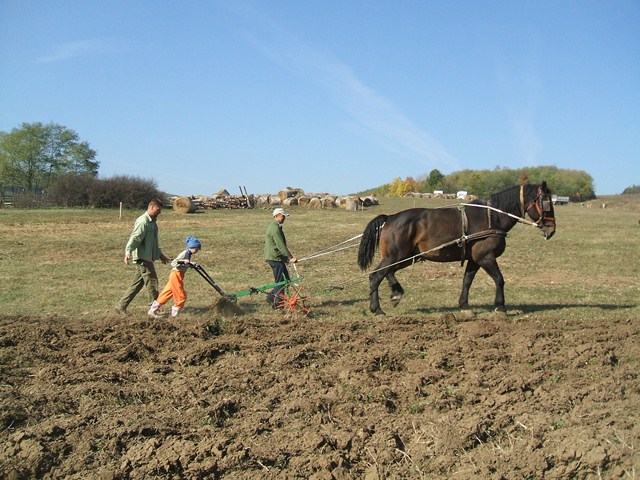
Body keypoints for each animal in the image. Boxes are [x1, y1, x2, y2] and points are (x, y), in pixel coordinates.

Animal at [360, 182, 556, 316]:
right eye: (546, 202)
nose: (552, 230)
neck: (492, 217)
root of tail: (390, 218)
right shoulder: (486, 257)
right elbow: (499, 279)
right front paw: (500, 307)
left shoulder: (475, 259)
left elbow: (467, 281)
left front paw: (465, 306)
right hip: (397, 256)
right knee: (376, 276)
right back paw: (377, 309)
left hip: (405, 257)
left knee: (387, 273)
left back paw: (396, 293)